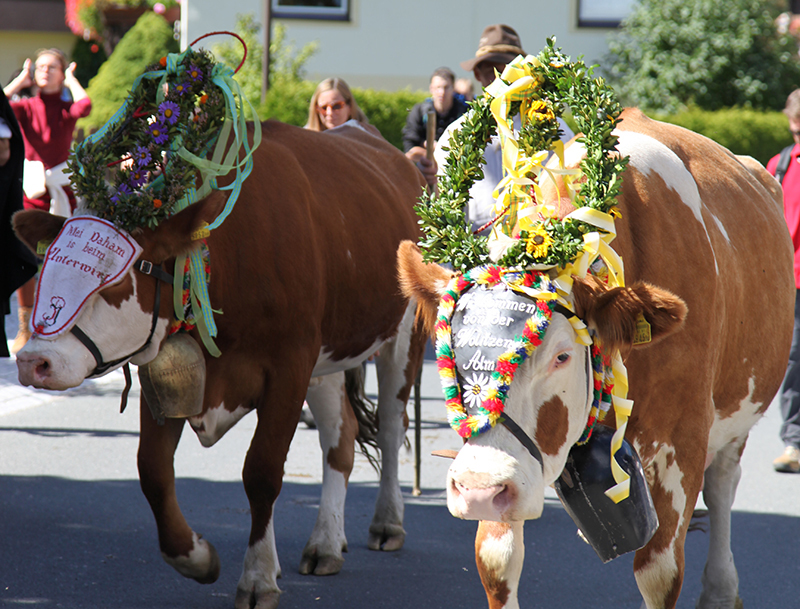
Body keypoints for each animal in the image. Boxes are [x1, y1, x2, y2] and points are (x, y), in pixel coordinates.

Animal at [12, 120, 428, 608]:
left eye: (111, 283)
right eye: (45, 266)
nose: (32, 361)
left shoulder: (289, 365)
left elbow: (262, 471)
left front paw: (258, 577)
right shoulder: (166, 369)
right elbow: (153, 470)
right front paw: (197, 558)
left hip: (403, 335)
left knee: (391, 425)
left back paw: (387, 522)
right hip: (326, 359)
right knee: (340, 438)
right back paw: (325, 543)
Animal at [400, 107, 792, 604]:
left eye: (562, 357)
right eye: (450, 352)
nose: (479, 490)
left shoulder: (682, 438)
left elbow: (660, 573)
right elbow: (497, 559)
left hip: (740, 409)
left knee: (723, 483)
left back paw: (721, 590)